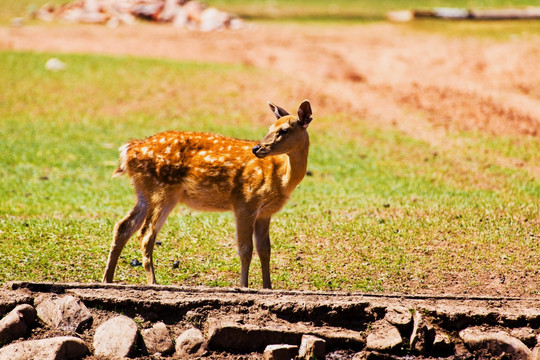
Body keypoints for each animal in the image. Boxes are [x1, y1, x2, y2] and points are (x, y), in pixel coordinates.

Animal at [102, 100, 312, 288]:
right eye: (270, 127)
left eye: (284, 130)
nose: (257, 148)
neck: (281, 177)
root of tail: (128, 151)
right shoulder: (245, 202)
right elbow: (245, 249)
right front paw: (244, 286)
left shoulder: (265, 212)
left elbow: (264, 250)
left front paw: (267, 287)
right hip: (162, 191)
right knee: (145, 234)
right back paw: (153, 282)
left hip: (144, 192)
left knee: (123, 226)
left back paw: (107, 280)